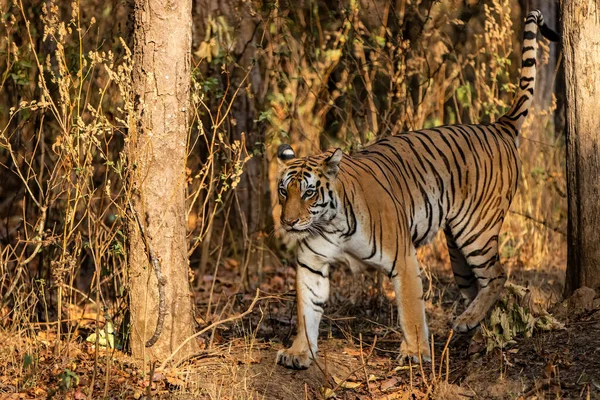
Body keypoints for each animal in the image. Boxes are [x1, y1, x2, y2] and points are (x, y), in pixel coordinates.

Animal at [274, 10, 560, 368]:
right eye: (284, 191)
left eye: (309, 193)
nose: (288, 222)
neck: (330, 223)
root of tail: (498, 126)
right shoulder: (311, 265)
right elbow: (306, 310)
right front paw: (299, 352)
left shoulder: (403, 258)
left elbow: (410, 309)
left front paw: (413, 353)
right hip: (458, 251)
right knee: (480, 285)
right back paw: (475, 326)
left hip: (476, 231)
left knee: (497, 275)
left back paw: (466, 321)